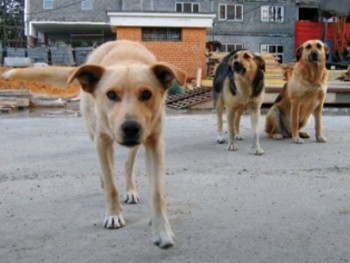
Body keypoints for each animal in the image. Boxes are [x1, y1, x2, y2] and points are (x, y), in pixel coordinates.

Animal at [2, 39, 187, 250]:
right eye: (111, 94)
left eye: (146, 94)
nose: (131, 127)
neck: (126, 60)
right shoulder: (101, 140)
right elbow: (111, 184)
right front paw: (113, 214)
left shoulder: (154, 142)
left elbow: (157, 193)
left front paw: (162, 231)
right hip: (95, 134)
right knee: (108, 167)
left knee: (127, 164)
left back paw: (130, 189)